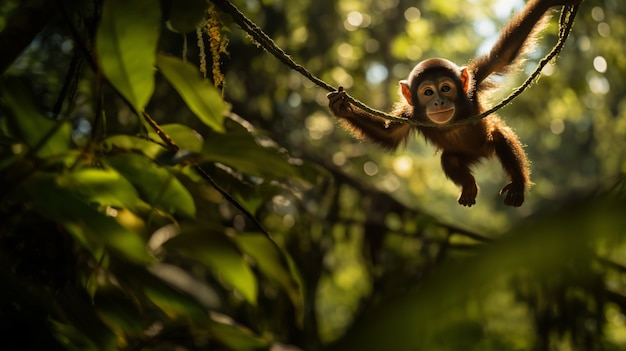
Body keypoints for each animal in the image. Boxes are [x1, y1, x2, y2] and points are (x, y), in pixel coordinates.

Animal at [326, 0, 580, 208]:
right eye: (428, 92)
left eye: (446, 88)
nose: (439, 101)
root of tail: (481, 155)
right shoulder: (410, 115)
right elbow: (389, 135)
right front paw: (342, 107)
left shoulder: (473, 85)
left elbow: (503, 56)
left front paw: (549, 2)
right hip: (465, 155)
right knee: (449, 158)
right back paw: (468, 186)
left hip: (486, 143)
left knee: (499, 135)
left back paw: (517, 183)